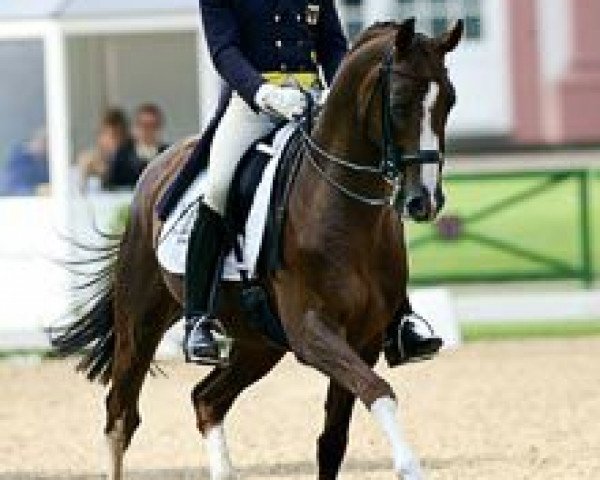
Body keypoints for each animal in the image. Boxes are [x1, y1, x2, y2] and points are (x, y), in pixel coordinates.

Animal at [52, 18, 464, 480]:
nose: (424, 201)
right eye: (397, 101)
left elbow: (333, 440)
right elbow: (378, 390)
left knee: (206, 400)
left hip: (258, 343)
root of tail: (158, 165)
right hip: (140, 324)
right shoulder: (311, 331)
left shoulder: (365, 339)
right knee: (121, 416)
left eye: (449, 100)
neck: (338, 210)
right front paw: (409, 464)